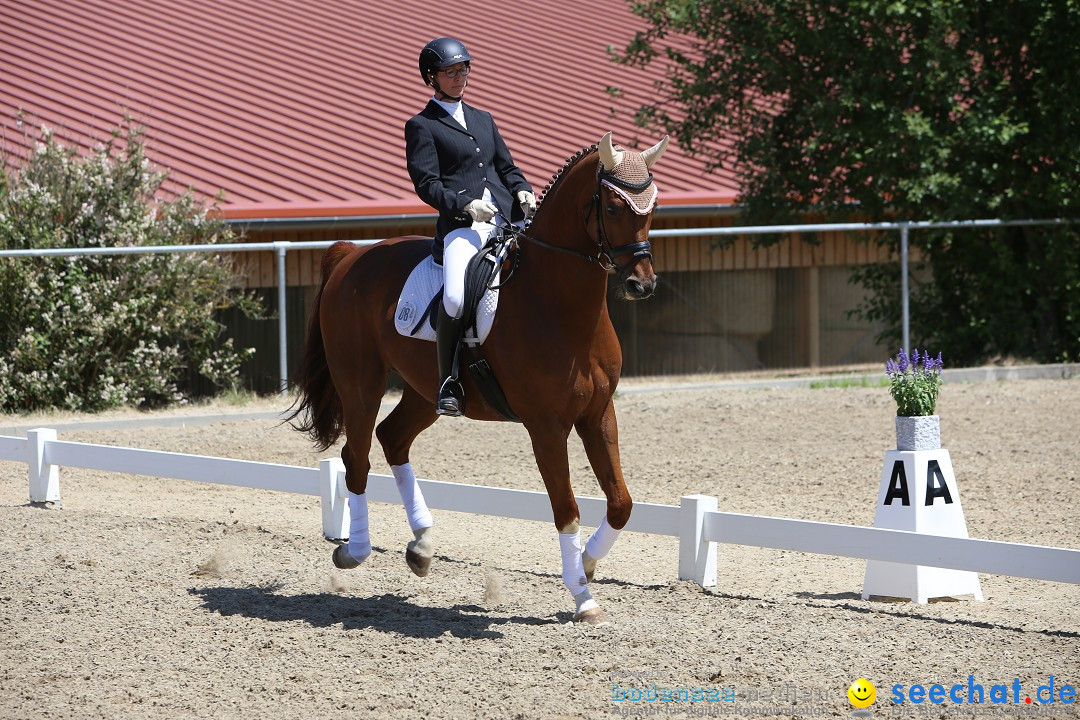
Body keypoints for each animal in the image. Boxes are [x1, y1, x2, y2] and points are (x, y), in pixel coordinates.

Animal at [291, 133, 669, 626]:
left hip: (424, 391)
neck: (560, 305)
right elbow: (566, 509)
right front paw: (582, 596)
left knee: (392, 438)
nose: (642, 284)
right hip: (360, 385)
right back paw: (354, 551)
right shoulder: (547, 427)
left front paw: (586, 564)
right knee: (356, 457)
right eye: (613, 207)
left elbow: (621, 503)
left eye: (652, 207)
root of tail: (353, 254)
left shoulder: (599, 413)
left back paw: (421, 546)